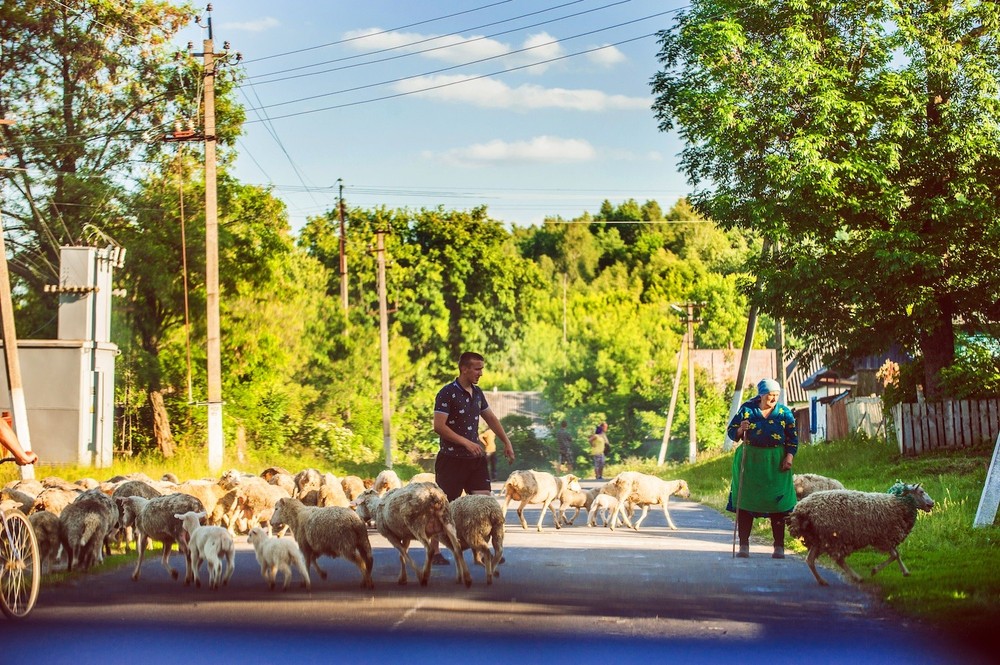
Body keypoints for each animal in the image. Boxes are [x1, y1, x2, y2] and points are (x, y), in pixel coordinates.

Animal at [788, 480, 936, 584]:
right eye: (921, 491)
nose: (932, 503)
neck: (898, 503)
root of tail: (801, 508)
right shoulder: (884, 536)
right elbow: (894, 555)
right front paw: (874, 570)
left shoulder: (885, 536)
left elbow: (897, 555)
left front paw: (905, 572)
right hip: (834, 536)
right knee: (838, 559)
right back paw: (857, 577)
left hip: (819, 538)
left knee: (810, 560)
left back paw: (822, 581)